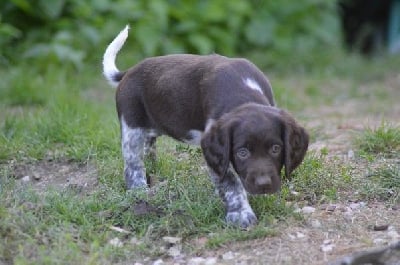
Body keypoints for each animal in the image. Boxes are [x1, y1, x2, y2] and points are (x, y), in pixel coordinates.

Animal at [103, 25, 310, 227]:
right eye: (242, 152)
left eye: (276, 149)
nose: (263, 184)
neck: (242, 93)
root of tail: (128, 72)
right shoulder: (219, 153)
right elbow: (231, 184)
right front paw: (240, 214)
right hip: (132, 127)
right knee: (133, 165)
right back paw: (139, 192)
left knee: (148, 147)